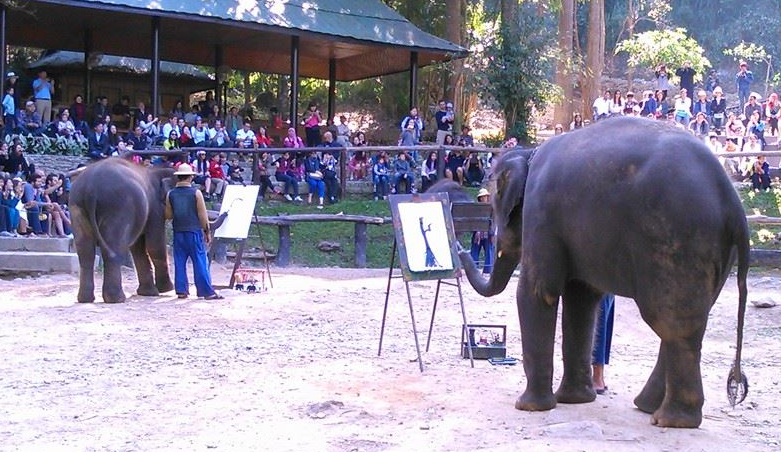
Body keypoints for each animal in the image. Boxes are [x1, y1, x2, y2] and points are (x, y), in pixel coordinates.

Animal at [69, 158, 174, 304]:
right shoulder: (155, 207)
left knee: (85, 252)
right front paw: (166, 289)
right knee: (113, 249)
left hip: (77, 208)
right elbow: (154, 244)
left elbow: (138, 248)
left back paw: (85, 299)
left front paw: (148, 293)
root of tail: (90, 189)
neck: (156, 170)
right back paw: (117, 299)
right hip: (118, 207)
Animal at [460, 116, 748, 428]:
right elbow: (581, 301)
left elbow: (538, 293)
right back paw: (647, 407)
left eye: (494, 209)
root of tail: (732, 200)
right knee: (685, 322)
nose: (461, 251)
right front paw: (574, 400)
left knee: (672, 324)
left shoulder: (541, 214)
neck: (528, 153)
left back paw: (670, 420)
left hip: (679, 240)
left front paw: (528, 407)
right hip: (714, 252)